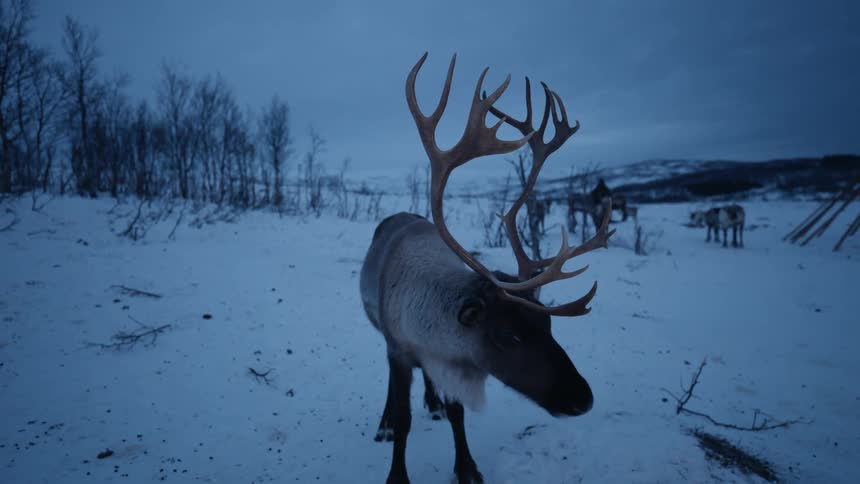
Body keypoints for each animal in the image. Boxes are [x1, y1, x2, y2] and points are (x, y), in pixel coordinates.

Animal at [359, 52, 614, 484]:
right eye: (507, 336)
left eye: (549, 325)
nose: (583, 399)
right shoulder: (399, 348)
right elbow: (405, 417)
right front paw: (397, 469)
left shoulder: (453, 361)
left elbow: (458, 414)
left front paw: (467, 468)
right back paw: (385, 422)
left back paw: (432, 403)